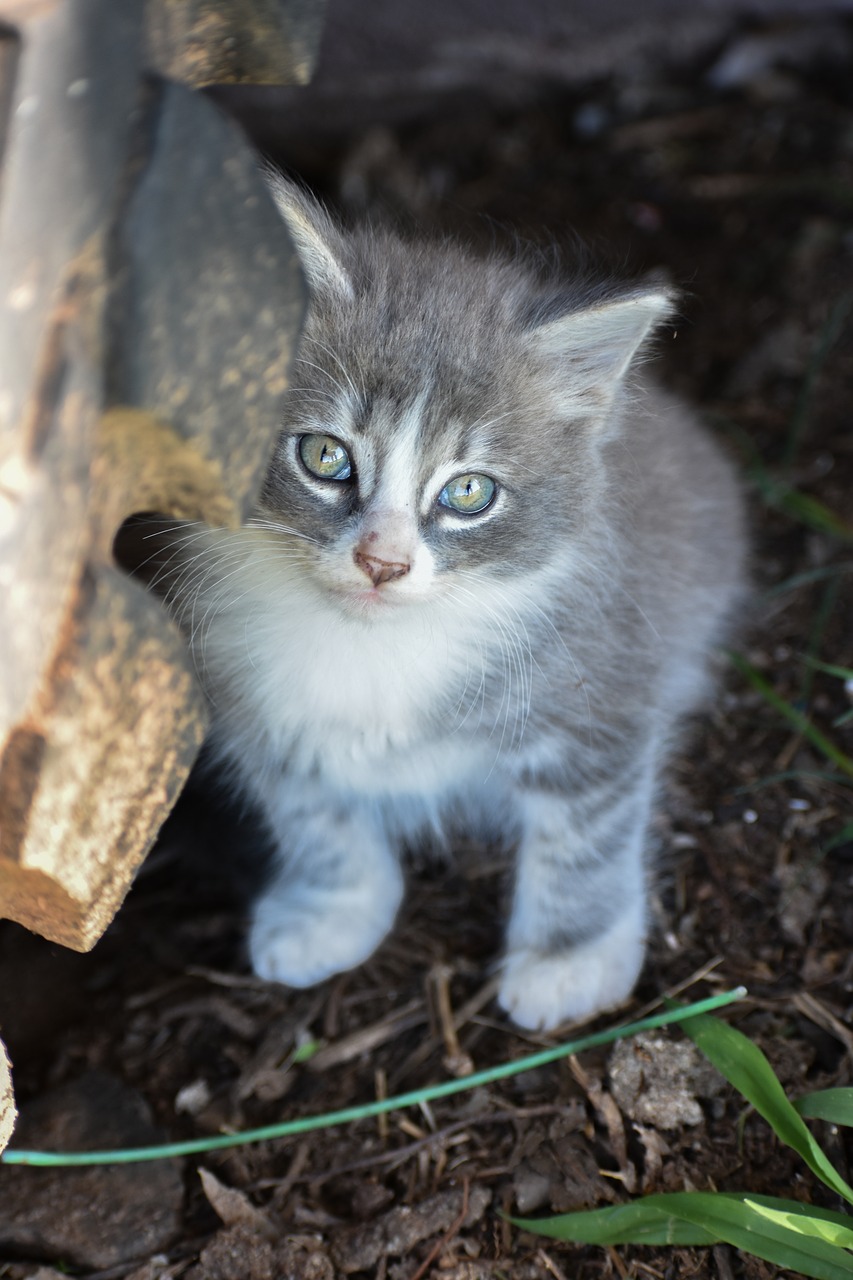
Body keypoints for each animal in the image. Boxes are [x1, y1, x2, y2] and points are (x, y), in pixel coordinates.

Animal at [161, 175, 742, 1029]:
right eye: (324, 455)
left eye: (468, 492)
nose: (382, 562)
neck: (371, 645)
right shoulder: (243, 699)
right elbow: (314, 816)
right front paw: (334, 909)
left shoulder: (599, 693)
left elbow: (586, 833)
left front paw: (568, 960)